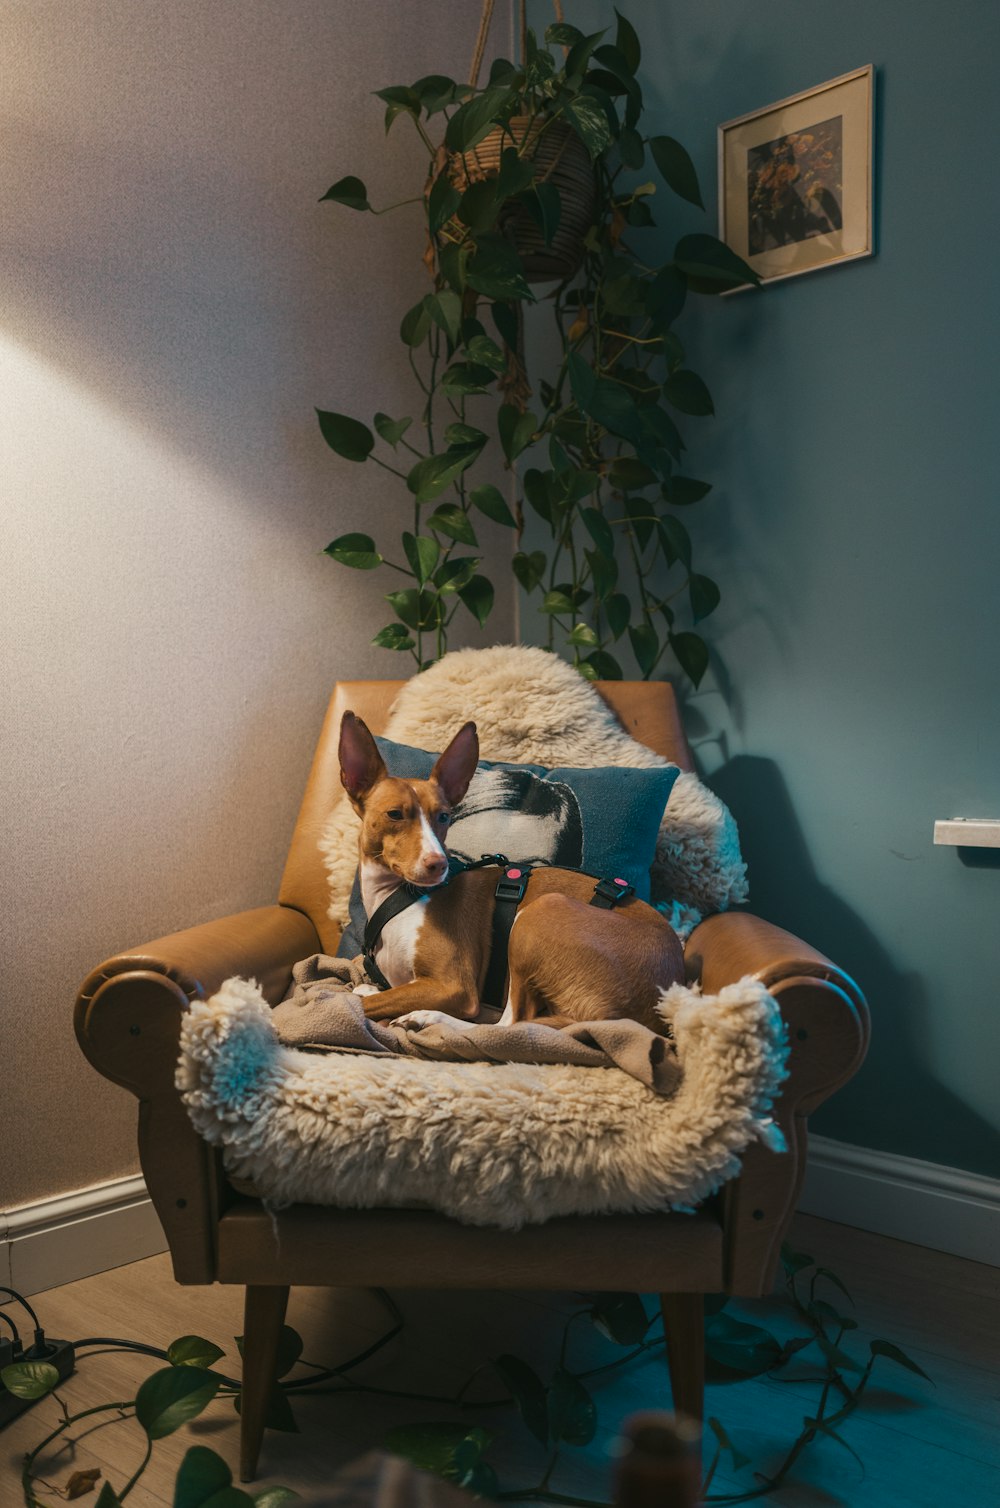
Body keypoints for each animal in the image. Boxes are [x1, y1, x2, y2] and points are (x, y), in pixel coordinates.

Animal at [340, 711, 684, 1031]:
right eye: (395, 814)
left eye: (444, 816)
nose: (438, 864)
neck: (399, 896)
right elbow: (382, 994)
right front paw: (370, 989)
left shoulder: (454, 986)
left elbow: (353, 1001)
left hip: (539, 912)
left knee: (512, 1023)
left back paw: (430, 1017)